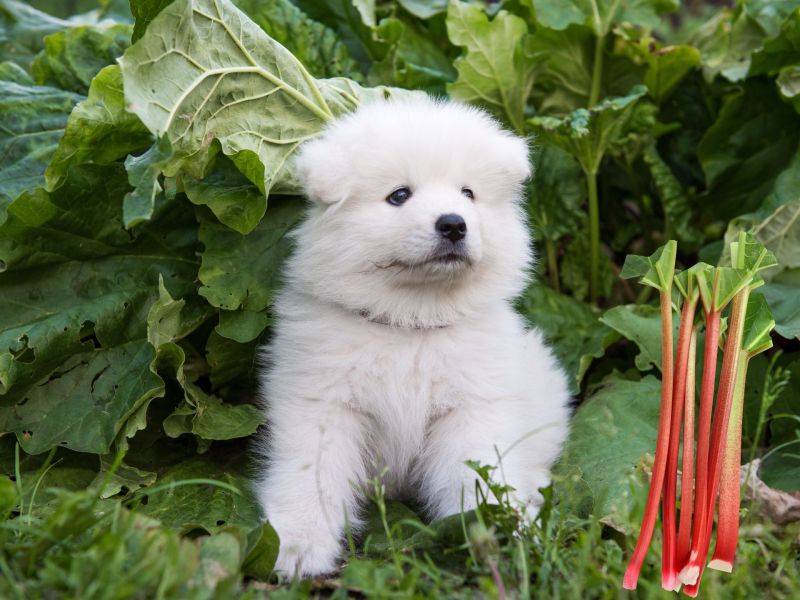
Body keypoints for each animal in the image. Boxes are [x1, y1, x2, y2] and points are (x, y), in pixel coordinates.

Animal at [255, 94, 568, 576]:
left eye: (468, 193)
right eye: (399, 196)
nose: (454, 223)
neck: (411, 323)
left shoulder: (470, 409)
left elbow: (478, 474)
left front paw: (500, 530)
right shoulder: (324, 404)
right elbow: (311, 474)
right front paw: (296, 544)